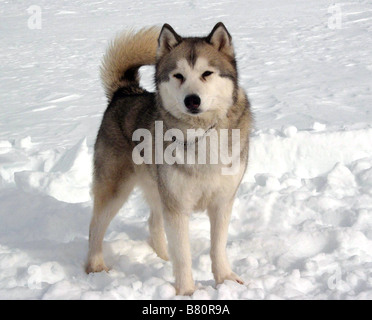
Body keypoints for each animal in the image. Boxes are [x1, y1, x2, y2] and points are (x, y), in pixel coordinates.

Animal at [85, 22, 251, 296]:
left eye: (207, 73)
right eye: (178, 75)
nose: (192, 100)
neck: (200, 134)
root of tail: (124, 92)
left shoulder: (222, 201)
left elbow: (217, 247)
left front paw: (225, 279)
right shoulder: (177, 205)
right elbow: (183, 255)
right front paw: (187, 291)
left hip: (157, 188)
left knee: (153, 223)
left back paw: (162, 258)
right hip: (115, 189)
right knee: (95, 227)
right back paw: (95, 267)